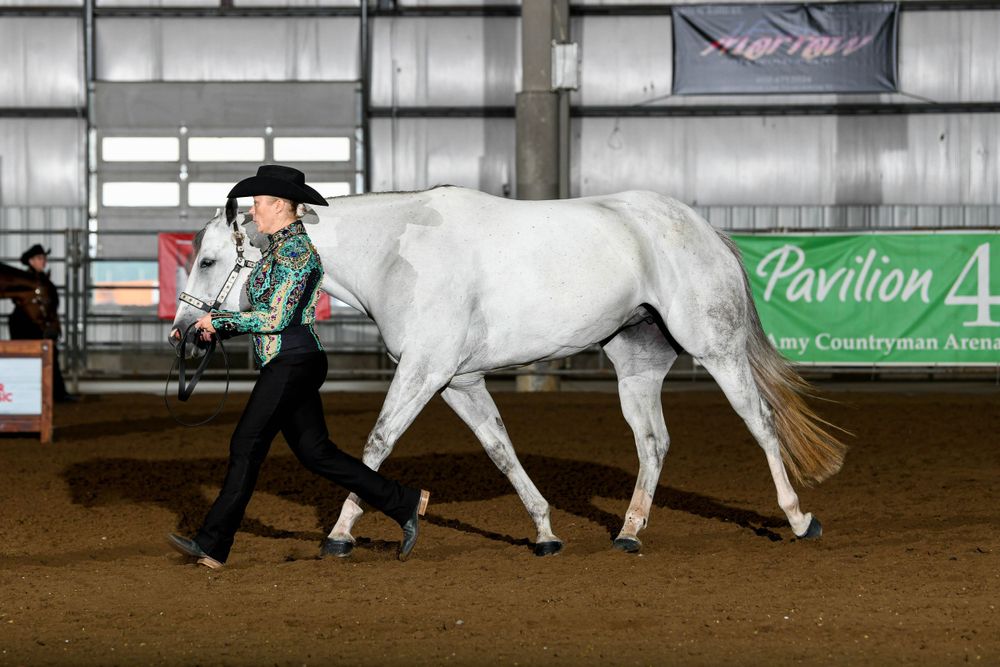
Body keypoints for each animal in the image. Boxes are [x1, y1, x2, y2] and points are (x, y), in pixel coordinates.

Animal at [170, 187, 846, 557]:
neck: (396, 253)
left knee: (761, 425)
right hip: (637, 363)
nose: (182, 332)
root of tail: (703, 228)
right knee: (654, 443)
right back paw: (628, 533)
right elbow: (501, 449)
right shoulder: (458, 380)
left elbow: (376, 445)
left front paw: (340, 534)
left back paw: (800, 520)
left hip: (717, 349)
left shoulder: (425, 371)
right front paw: (545, 532)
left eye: (208, 260)